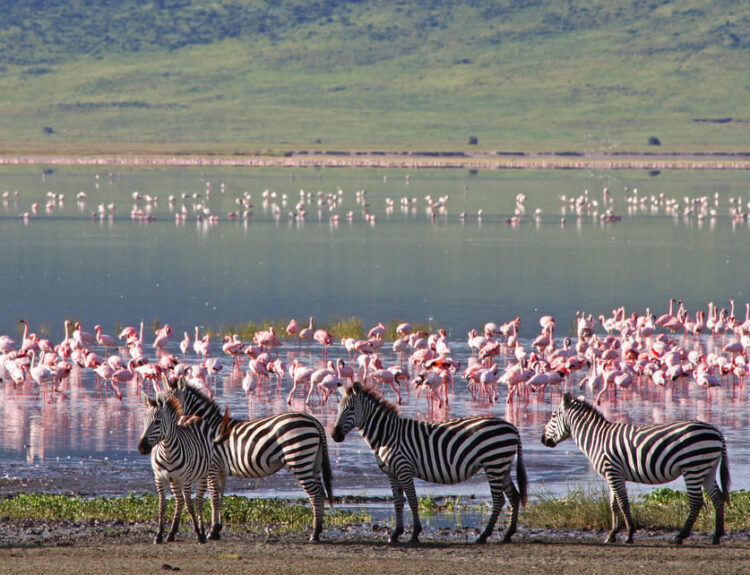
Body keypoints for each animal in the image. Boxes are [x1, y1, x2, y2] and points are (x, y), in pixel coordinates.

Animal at [137, 392, 222, 544]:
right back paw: (171, 533)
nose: (142, 447)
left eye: (157, 422)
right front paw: (159, 534)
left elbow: (190, 505)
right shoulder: (159, 478)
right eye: (144, 422)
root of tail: (192, 416)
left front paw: (198, 534)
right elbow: (162, 505)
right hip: (174, 480)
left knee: (198, 501)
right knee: (179, 501)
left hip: (203, 474)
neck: (167, 452)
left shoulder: (186, 479)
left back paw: (202, 531)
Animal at [166, 376, 334, 544]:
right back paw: (318, 531)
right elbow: (220, 496)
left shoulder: (212, 467)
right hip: (314, 462)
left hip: (299, 458)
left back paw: (314, 534)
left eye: (170, 403)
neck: (207, 428)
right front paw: (217, 530)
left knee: (315, 494)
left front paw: (212, 531)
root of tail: (314, 421)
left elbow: (213, 498)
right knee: (320, 492)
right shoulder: (221, 470)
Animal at [332, 382, 524, 544]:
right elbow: (398, 502)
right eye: (338, 408)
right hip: (502, 466)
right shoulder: (392, 473)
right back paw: (508, 534)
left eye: (351, 409)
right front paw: (396, 533)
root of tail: (511, 427)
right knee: (514, 496)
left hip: (494, 463)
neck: (387, 435)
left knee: (498, 500)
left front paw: (415, 533)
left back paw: (484, 535)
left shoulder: (403, 468)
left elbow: (412, 500)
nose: (334, 435)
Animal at [544, 394, 732, 548]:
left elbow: (623, 503)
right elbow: (613, 505)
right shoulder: (613, 475)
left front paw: (629, 534)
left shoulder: (613, 472)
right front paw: (612, 534)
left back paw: (681, 536)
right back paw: (716, 536)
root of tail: (716, 431)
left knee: (696, 501)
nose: (542, 439)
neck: (597, 438)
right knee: (717, 498)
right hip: (707, 468)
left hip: (693, 467)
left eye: (553, 415)